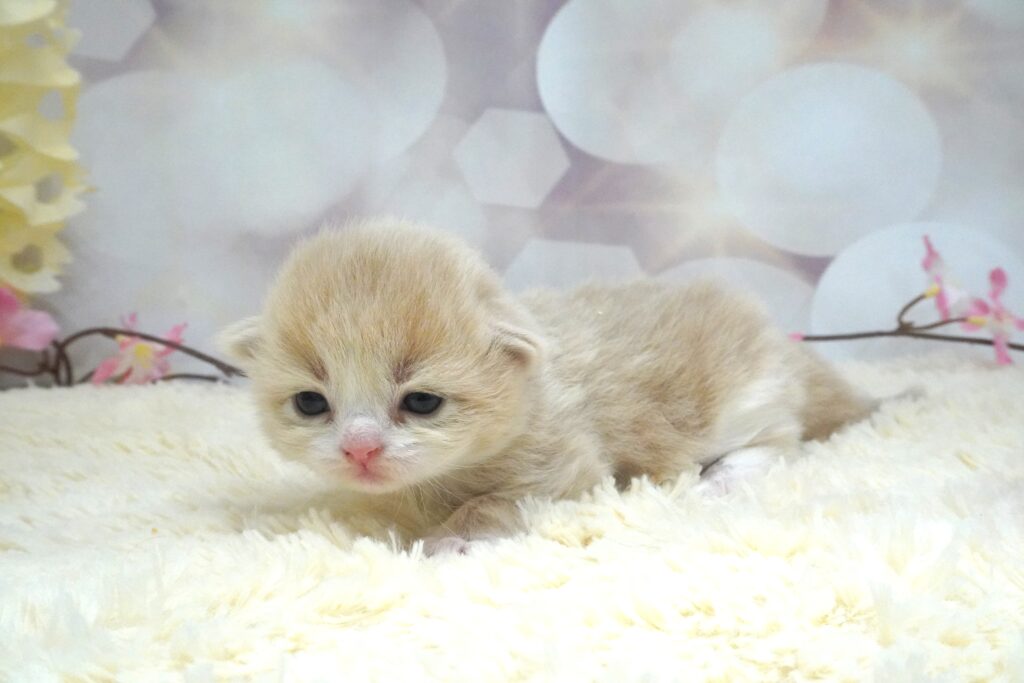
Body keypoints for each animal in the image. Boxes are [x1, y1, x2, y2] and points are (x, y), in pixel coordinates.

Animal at [220, 218, 873, 554]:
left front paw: (454, 539)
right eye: (311, 403)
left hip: (742, 399)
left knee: (780, 440)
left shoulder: (567, 465)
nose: (360, 449)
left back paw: (721, 478)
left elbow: (494, 501)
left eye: (422, 402)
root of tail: (778, 340)